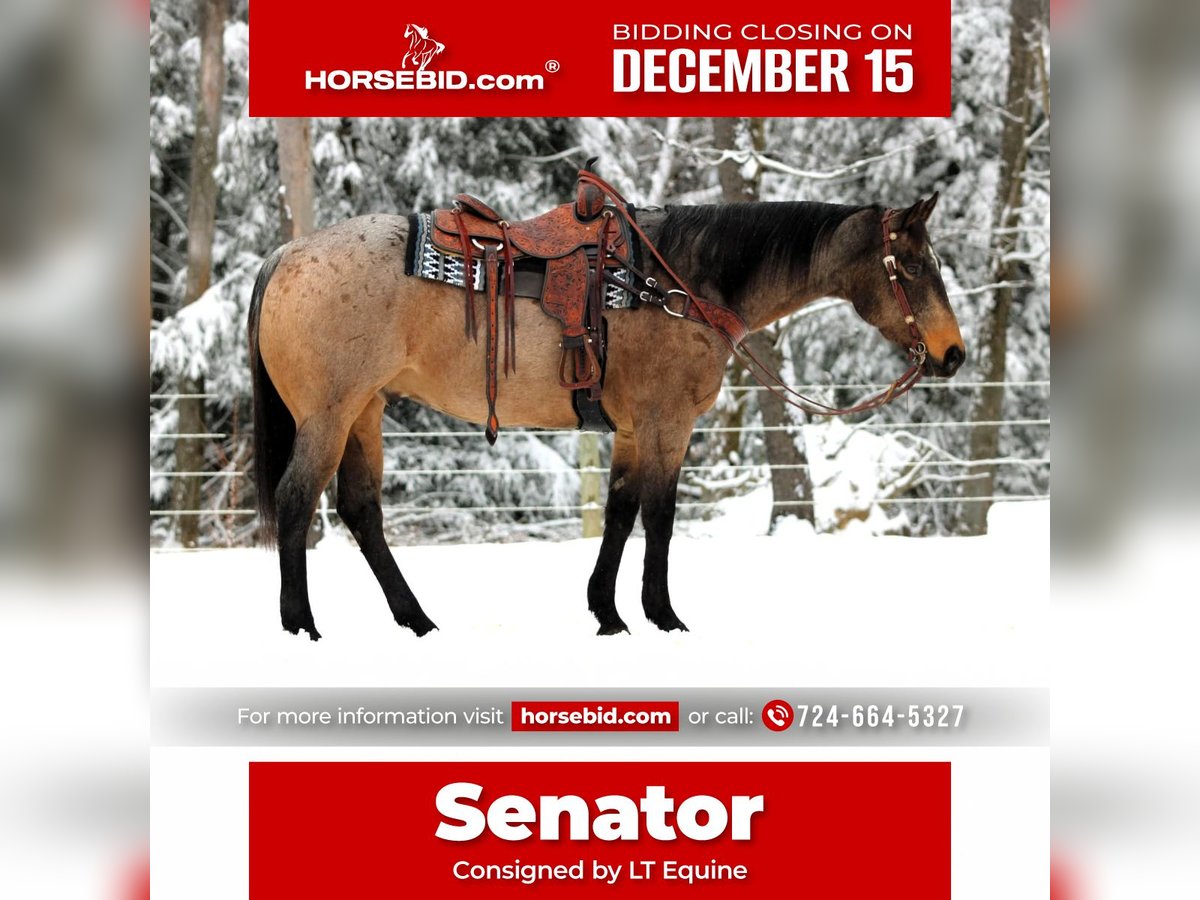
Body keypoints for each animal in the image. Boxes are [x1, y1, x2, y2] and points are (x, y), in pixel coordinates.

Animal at [248, 192, 965, 641]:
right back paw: (301, 624)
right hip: (329, 416)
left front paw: (608, 613)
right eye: (914, 265)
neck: (678, 285)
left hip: (363, 412)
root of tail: (287, 253)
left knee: (361, 510)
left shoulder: (630, 430)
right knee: (296, 500)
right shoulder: (666, 424)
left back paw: (416, 620)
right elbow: (660, 517)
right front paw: (663, 616)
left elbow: (620, 513)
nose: (953, 353)